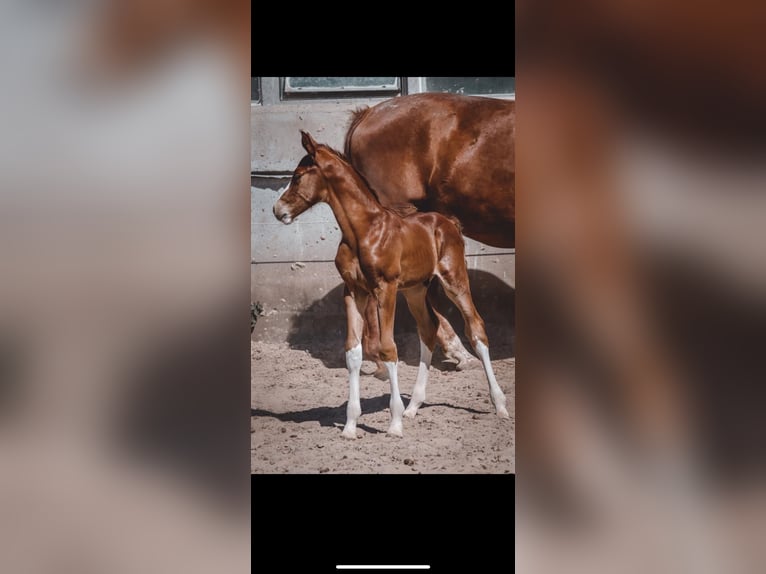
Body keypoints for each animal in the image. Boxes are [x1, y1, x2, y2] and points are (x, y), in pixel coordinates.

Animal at [273, 130, 509, 438]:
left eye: (298, 176)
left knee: (476, 328)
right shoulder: (354, 291)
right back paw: (413, 406)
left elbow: (388, 348)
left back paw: (500, 406)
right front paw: (350, 426)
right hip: (415, 290)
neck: (363, 231)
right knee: (428, 329)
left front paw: (394, 423)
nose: (277, 210)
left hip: (453, 280)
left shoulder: (385, 289)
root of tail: (449, 222)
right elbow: (353, 352)